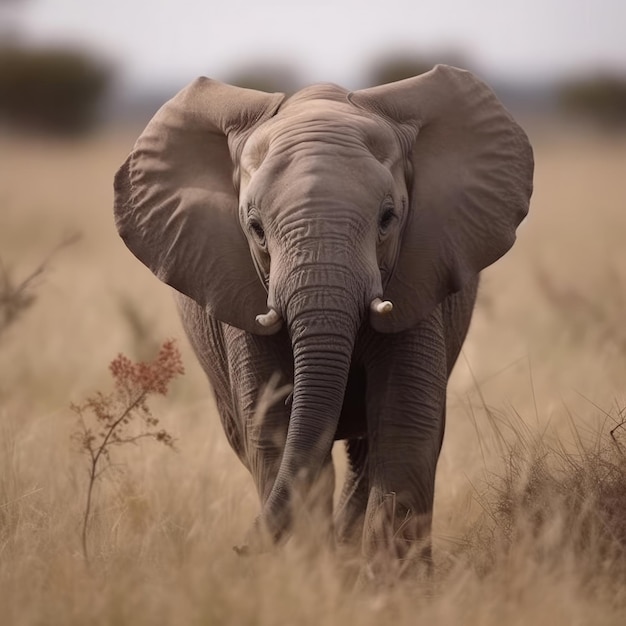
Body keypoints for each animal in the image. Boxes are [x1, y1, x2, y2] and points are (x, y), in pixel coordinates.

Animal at [112, 66, 532, 572]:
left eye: (388, 218)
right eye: (255, 228)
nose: (239, 548)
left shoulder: (419, 276)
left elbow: (405, 422)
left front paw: (392, 584)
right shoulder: (239, 290)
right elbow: (272, 427)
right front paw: (308, 572)